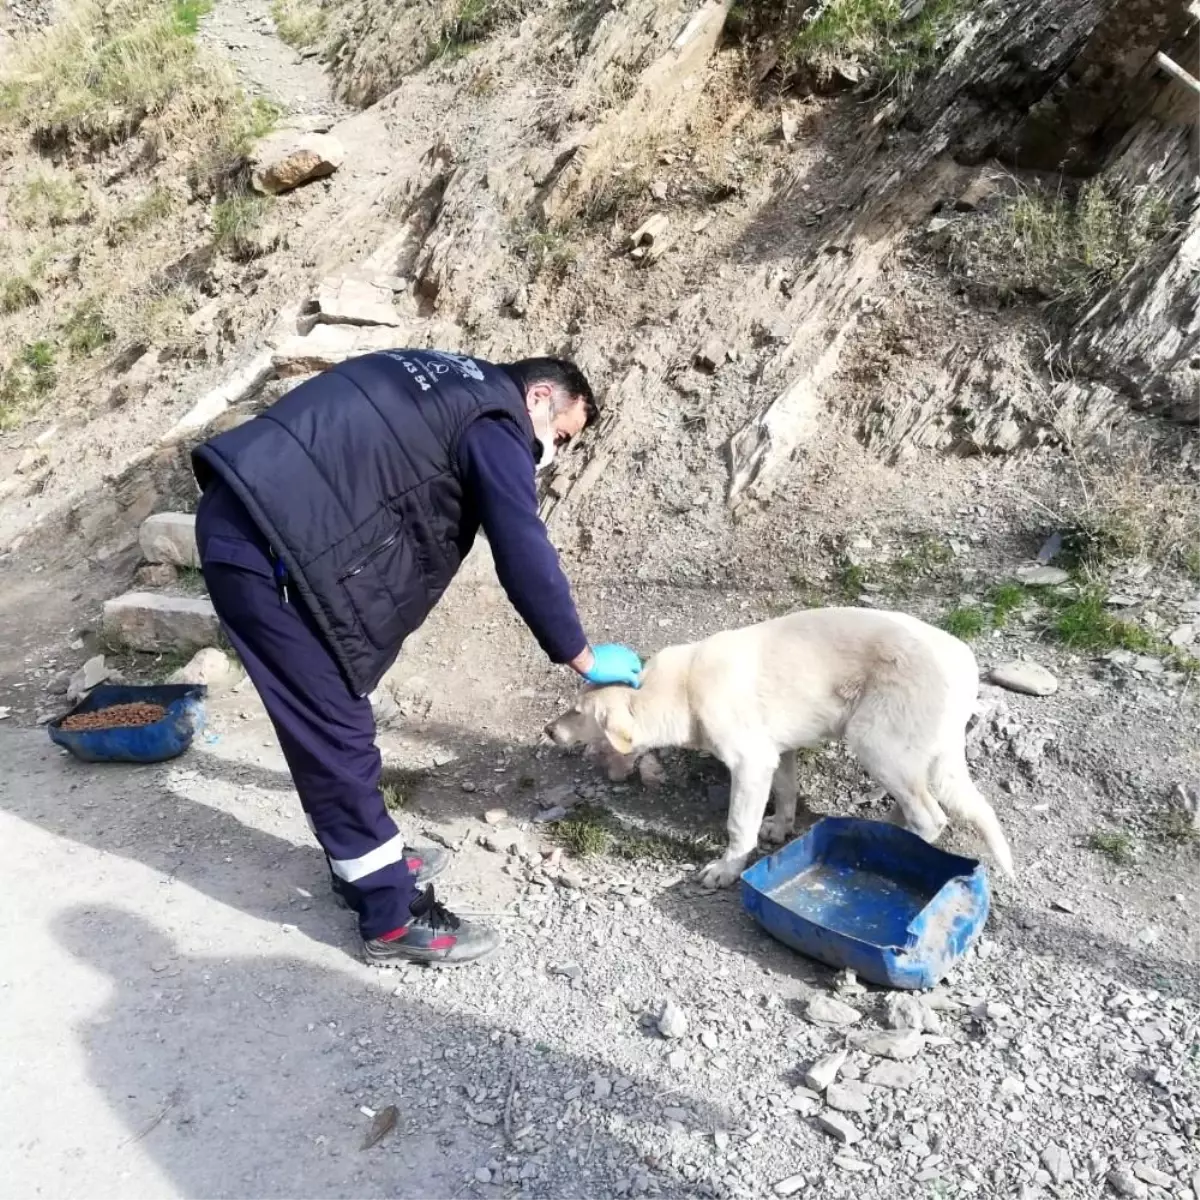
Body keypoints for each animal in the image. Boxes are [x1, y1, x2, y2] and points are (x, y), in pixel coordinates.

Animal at [549, 604, 1017, 888]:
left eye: (576, 711)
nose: (549, 732)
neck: (681, 689)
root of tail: (963, 660)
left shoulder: (750, 763)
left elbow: (739, 825)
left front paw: (727, 868)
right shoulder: (778, 751)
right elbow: (787, 790)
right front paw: (780, 827)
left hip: (874, 743)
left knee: (930, 816)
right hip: (905, 756)